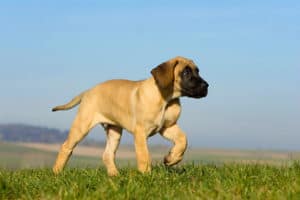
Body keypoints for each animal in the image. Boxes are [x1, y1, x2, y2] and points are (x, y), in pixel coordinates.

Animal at [51, 55, 209, 175]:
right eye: (186, 73)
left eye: (197, 71)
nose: (206, 86)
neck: (166, 99)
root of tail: (88, 91)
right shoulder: (140, 132)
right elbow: (144, 155)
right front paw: (146, 175)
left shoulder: (167, 127)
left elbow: (183, 140)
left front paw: (171, 158)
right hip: (82, 125)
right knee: (66, 147)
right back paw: (57, 172)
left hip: (114, 131)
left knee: (107, 154)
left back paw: (115, 175)